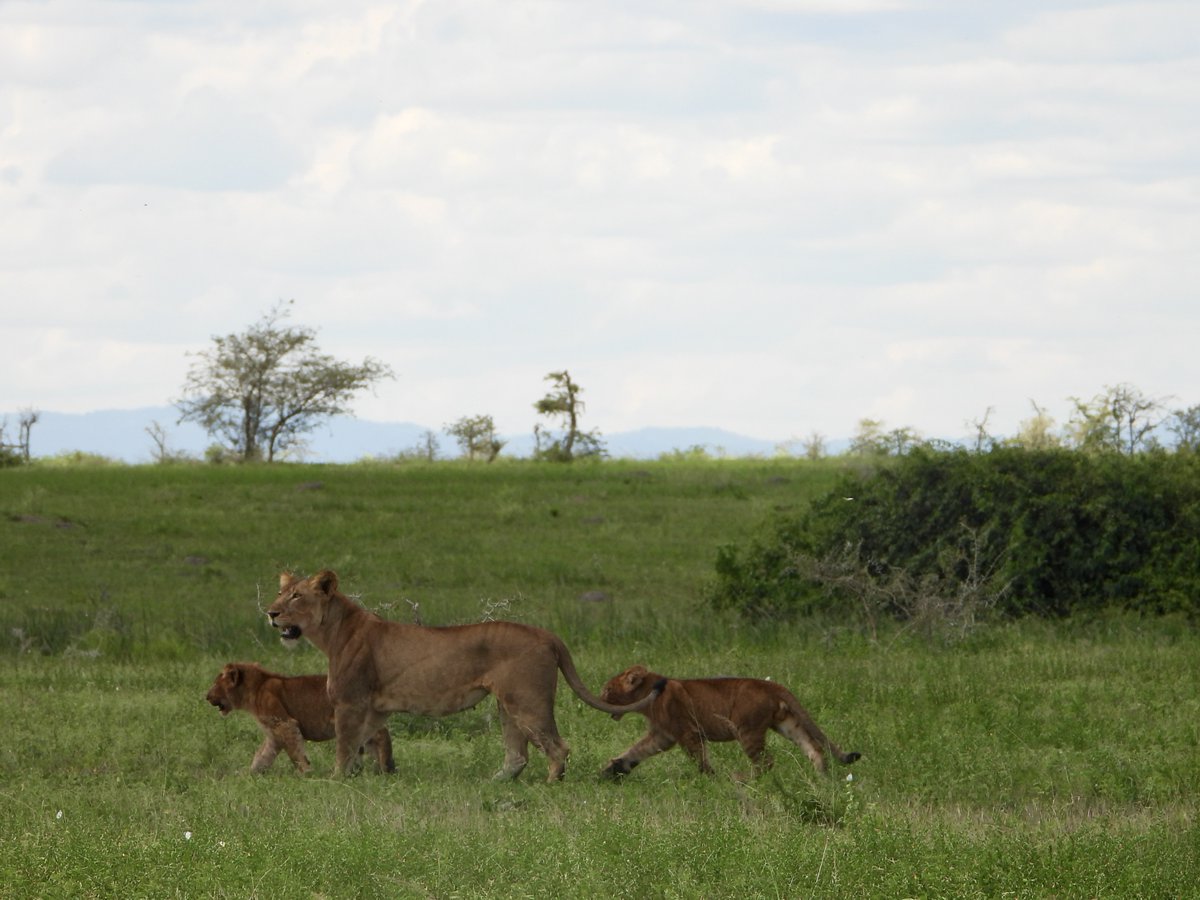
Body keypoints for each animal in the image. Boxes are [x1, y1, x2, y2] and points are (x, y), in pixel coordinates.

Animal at [206, 662, 394, 774]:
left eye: (215, 684)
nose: (206, 696)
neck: (255, 688)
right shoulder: (273, 734)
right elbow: (262, 755)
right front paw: (250, 775)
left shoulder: (284, 724)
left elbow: (295, 752)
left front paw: (306, 773)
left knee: (381, 735)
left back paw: (385, 767)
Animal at [265, 569, 664, 781]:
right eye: (281, 593)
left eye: (296, 596)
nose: (270, 613)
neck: (332, 631)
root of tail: (547, 634)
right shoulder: (374, 708)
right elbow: (364, 745)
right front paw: (364, 775)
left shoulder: (350, 702)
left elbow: (344, 746)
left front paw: (333, 780)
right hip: (507, 705)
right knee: (518, 754)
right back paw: (498, 782)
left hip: (526, 700)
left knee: (556, 745)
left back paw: (553, 783)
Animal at [598, 664, 861, 778]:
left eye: (608, 689)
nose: (600, 698)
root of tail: (773, 685)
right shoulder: (662, 735)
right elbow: (637, 750)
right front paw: (611, 770)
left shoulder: (686, 732)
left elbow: (701, 761)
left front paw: (711, 781)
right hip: (787, 724)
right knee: (814, 748)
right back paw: (822, 778)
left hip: (747, 730)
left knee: (766, 762)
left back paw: (747, 781)